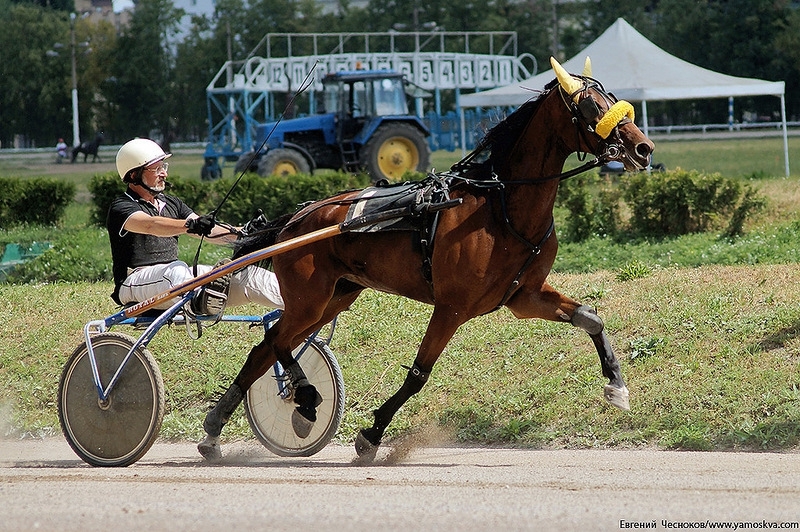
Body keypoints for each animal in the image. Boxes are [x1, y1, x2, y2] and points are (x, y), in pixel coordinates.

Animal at [197, 56, 652, 460]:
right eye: (591, 107)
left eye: (614, 97)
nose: (643, 148)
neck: (503, 208)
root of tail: (298, 218)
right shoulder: (452, 307)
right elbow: (418, 375)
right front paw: (372, 436)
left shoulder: (524, 296)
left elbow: (591, 317)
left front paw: (617, 385)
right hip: (309, 297)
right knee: (276, 342)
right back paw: (305, 401)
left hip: (333, 298)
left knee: (265, 349)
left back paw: (216, 429)